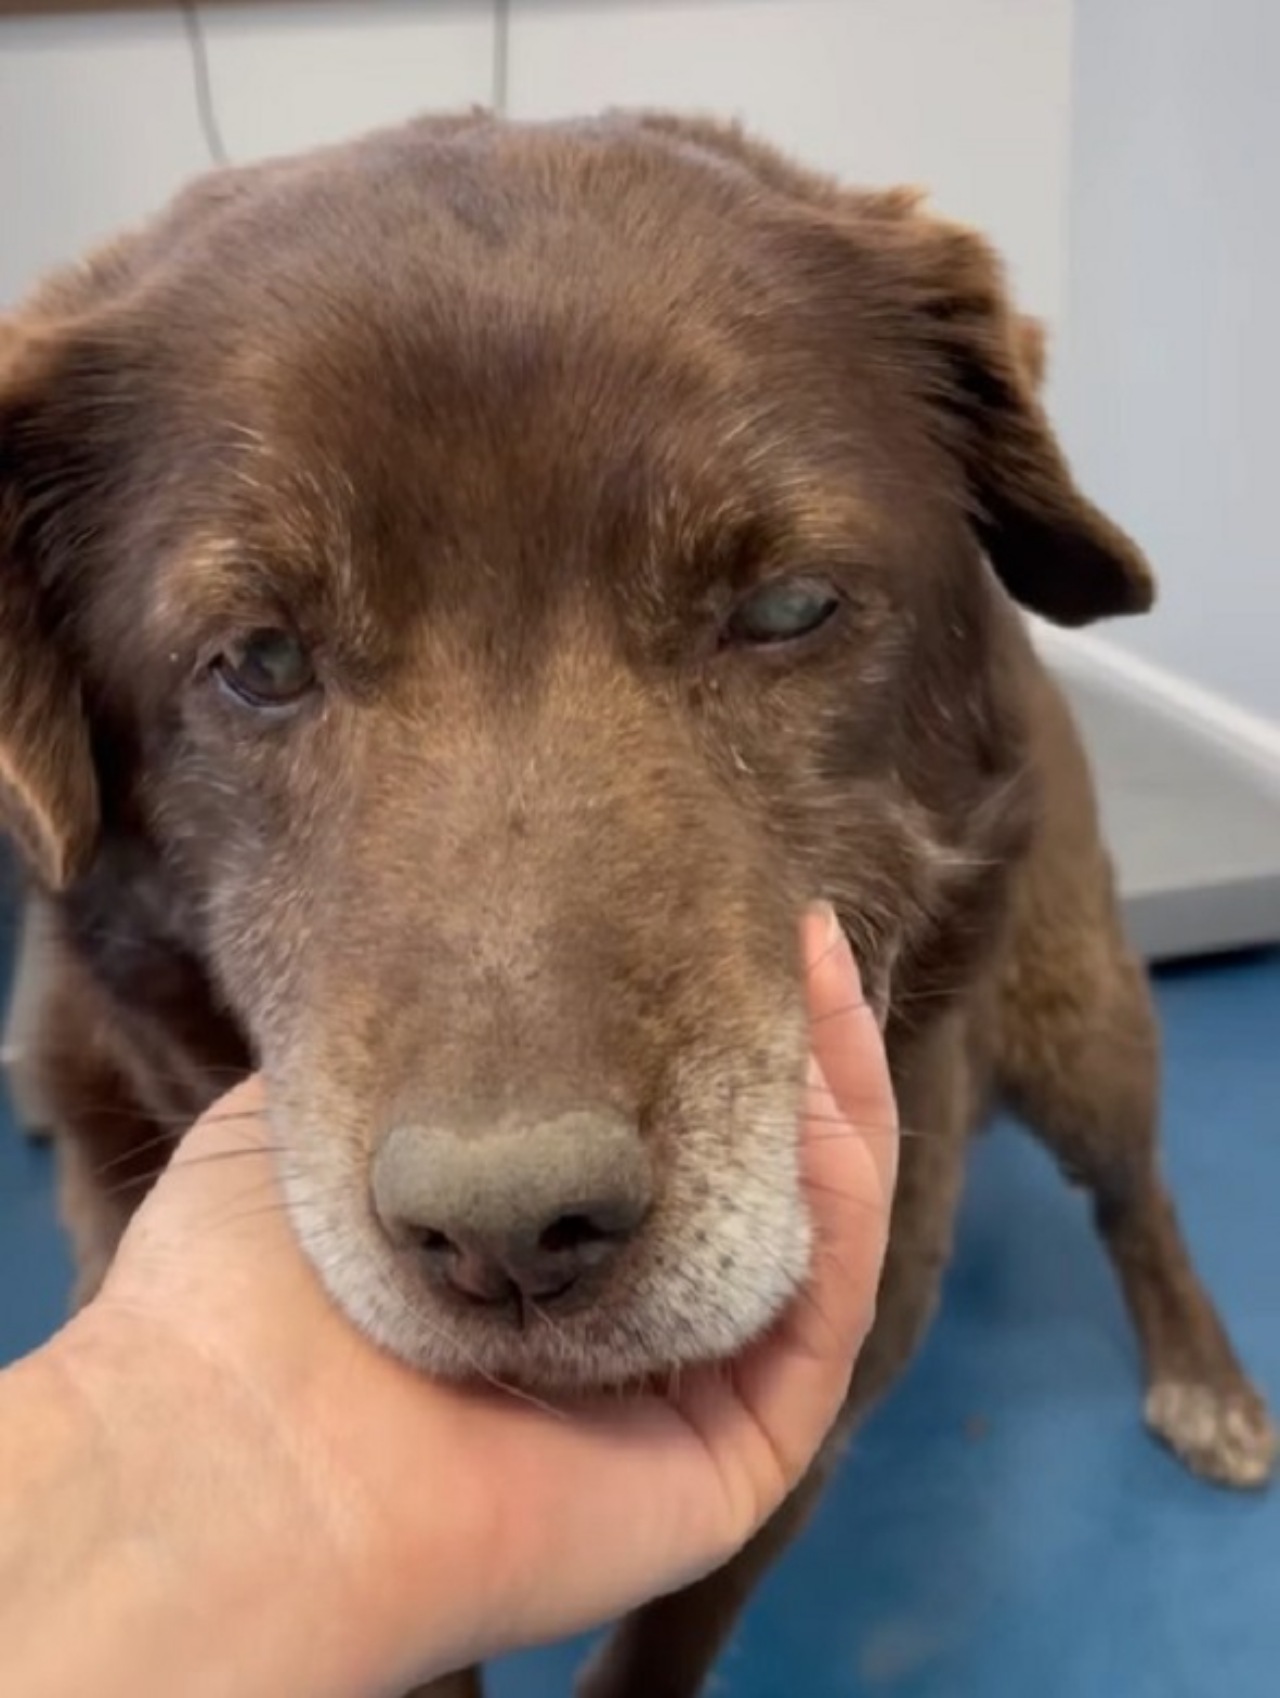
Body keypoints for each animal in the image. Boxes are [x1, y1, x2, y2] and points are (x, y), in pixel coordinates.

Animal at [0, 109, 1269, 1698]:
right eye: (261, 660)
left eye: (785, 608)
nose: (510, 1233)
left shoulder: (826, 1394)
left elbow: (668, 1632)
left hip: (1072, 1009)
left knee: (1132, 1190)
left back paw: (1204, 1378)